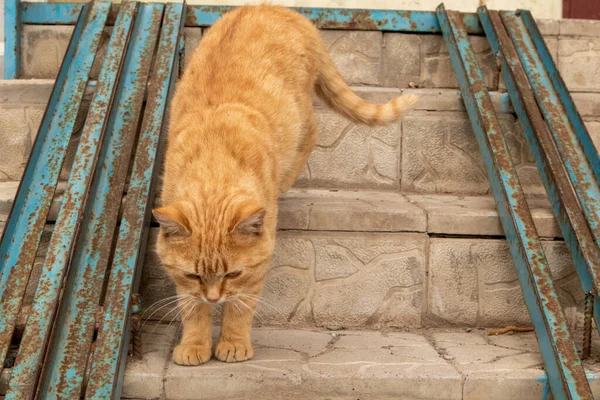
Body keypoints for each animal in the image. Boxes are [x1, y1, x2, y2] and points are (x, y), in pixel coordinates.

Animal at [152, 3, 420, 366]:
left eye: (232, 274)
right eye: (194, 275)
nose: (214, 299)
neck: (214, 158)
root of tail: (277, 7)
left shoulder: (256, 267)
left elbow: (241, 307)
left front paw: (233, 343)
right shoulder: (186, 281)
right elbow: (191, 308)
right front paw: (194, 344)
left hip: (301, 118)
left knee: (313, 131)